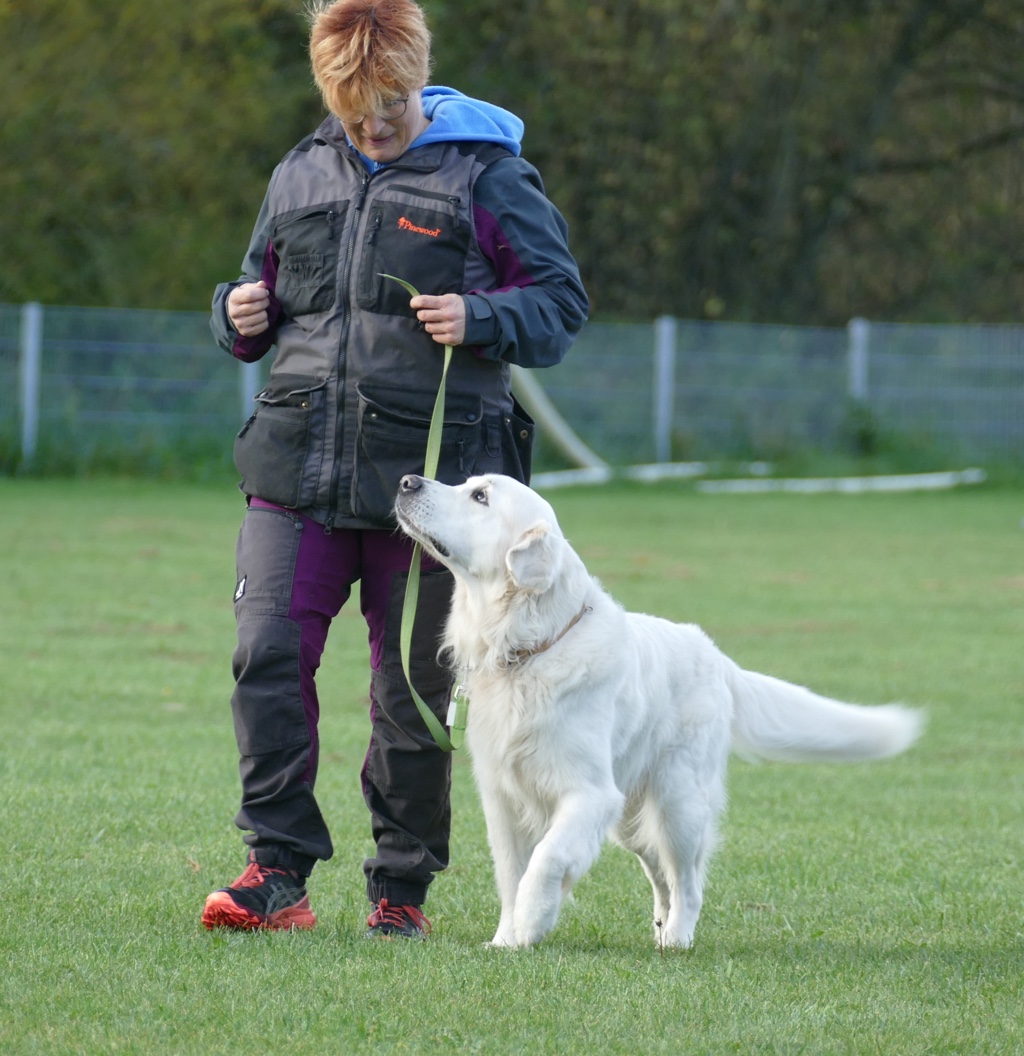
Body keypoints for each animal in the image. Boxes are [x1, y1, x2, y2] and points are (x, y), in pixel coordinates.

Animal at [395, 473, 923, 949]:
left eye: (480, 496)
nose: (406, 482)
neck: (528, 647)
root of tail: (714, 654)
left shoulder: (590, 794)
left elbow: (546, 860)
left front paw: (532, 922)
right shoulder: (503, 798)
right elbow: (511, 873)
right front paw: (507, 938)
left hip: (678, 804)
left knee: (688, 882)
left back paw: (678, 938)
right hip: (635, 820)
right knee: (662, 876)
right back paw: (662, 928)